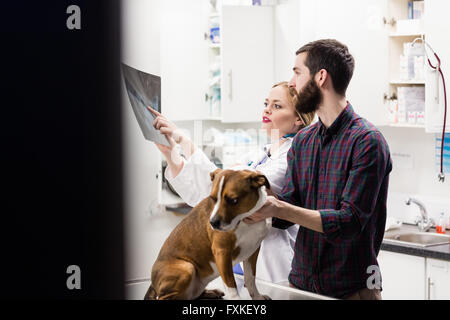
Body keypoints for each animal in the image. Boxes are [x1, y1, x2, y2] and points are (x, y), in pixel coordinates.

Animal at [144, 169, 270, 302]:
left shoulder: (253, 252)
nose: (212, 223)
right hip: (187, 267)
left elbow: (250, 278)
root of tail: (153, 284)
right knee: (165, 297)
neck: (245, 221)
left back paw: (210, 292)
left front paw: (257, 297)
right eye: (213, 198)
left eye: (233, 200)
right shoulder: (222, 251)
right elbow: (231, 284)